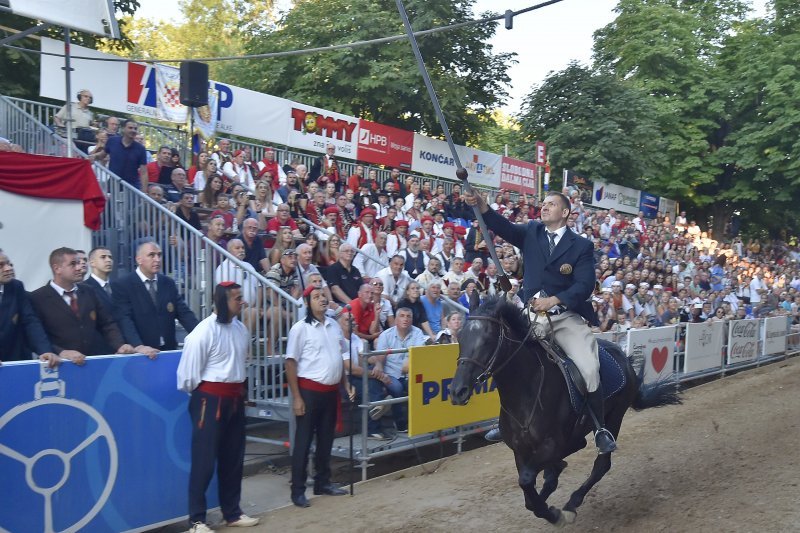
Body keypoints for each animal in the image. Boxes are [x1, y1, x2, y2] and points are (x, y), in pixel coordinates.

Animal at [450, 298, 680, 524]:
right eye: (460, 338)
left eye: (487, 339)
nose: (457, 391)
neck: (526, 390)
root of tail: (623, 357)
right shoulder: (520, 450)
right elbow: (529, 492)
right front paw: (546, 503)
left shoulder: (552, 444)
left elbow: (527, 480)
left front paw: (555, 514)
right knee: (575, 453)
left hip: (614, 417)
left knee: (601, 464)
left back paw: (572, 503)